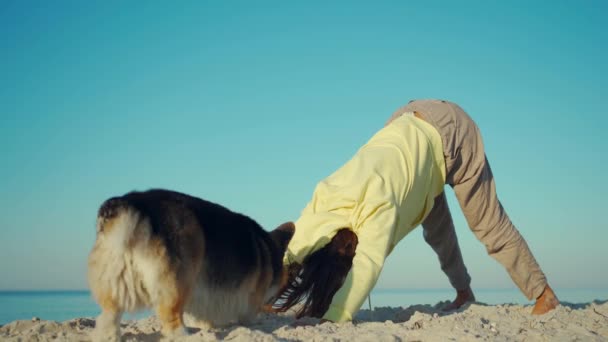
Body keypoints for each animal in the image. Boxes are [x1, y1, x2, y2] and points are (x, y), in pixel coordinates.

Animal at [86, 188, 294, 340]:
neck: (268, 250)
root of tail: (135, 201)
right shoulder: (250, 299)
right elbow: (249, 317)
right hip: (178, 282)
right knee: (170, 318)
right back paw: (185, 335)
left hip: (115, 281)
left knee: (108, 317)